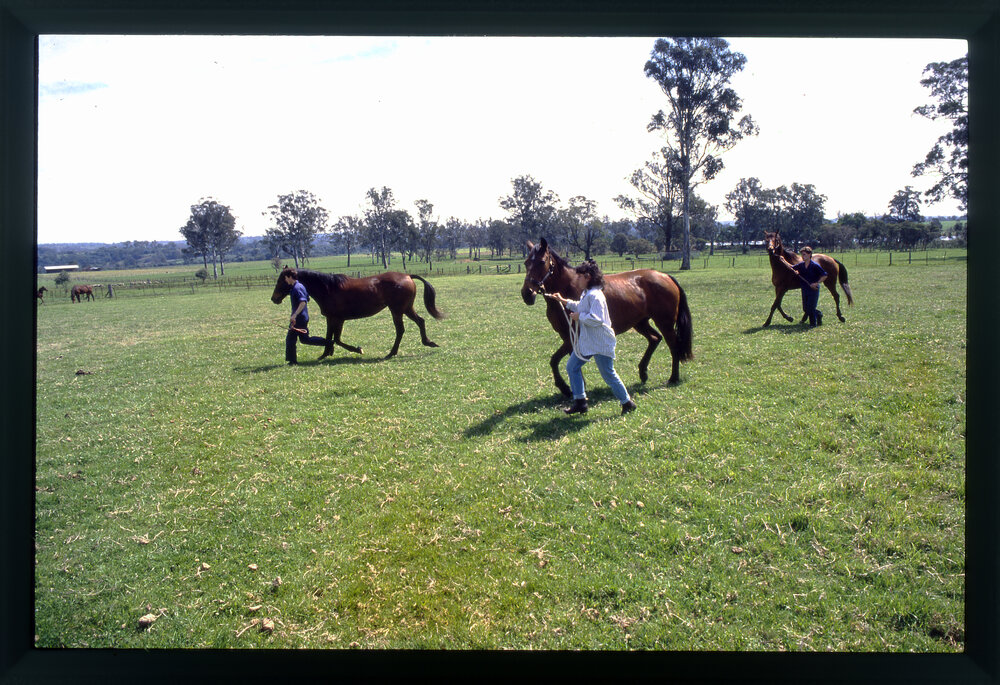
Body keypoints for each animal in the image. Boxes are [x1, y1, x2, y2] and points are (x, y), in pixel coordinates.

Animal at [270, 267, 445, 359]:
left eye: (280, 281)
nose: (274, 298)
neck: (328, 288)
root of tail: (407, 276)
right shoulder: (331, 319)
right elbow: (329, 337)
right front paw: (326, 353)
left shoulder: (337, 319)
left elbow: (336, 339)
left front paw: (356, 349)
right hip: (406, 308)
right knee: (420, 321)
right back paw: (428, 342)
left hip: (397, 310)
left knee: (401, 330)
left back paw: (391, 353)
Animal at [521, 238, 693, 397]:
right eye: (526, 263)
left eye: (542, 261)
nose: (527, 294)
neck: (568, 288)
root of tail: (665, 276)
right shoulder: (567, 336)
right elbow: (565, 360)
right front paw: (578, 387)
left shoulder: (572, 337)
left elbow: (554, 360)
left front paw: (565, 388)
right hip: (640, 323)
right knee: (655, 338)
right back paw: (643, 373)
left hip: (665, 323)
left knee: (673, 346)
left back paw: (673, 378)